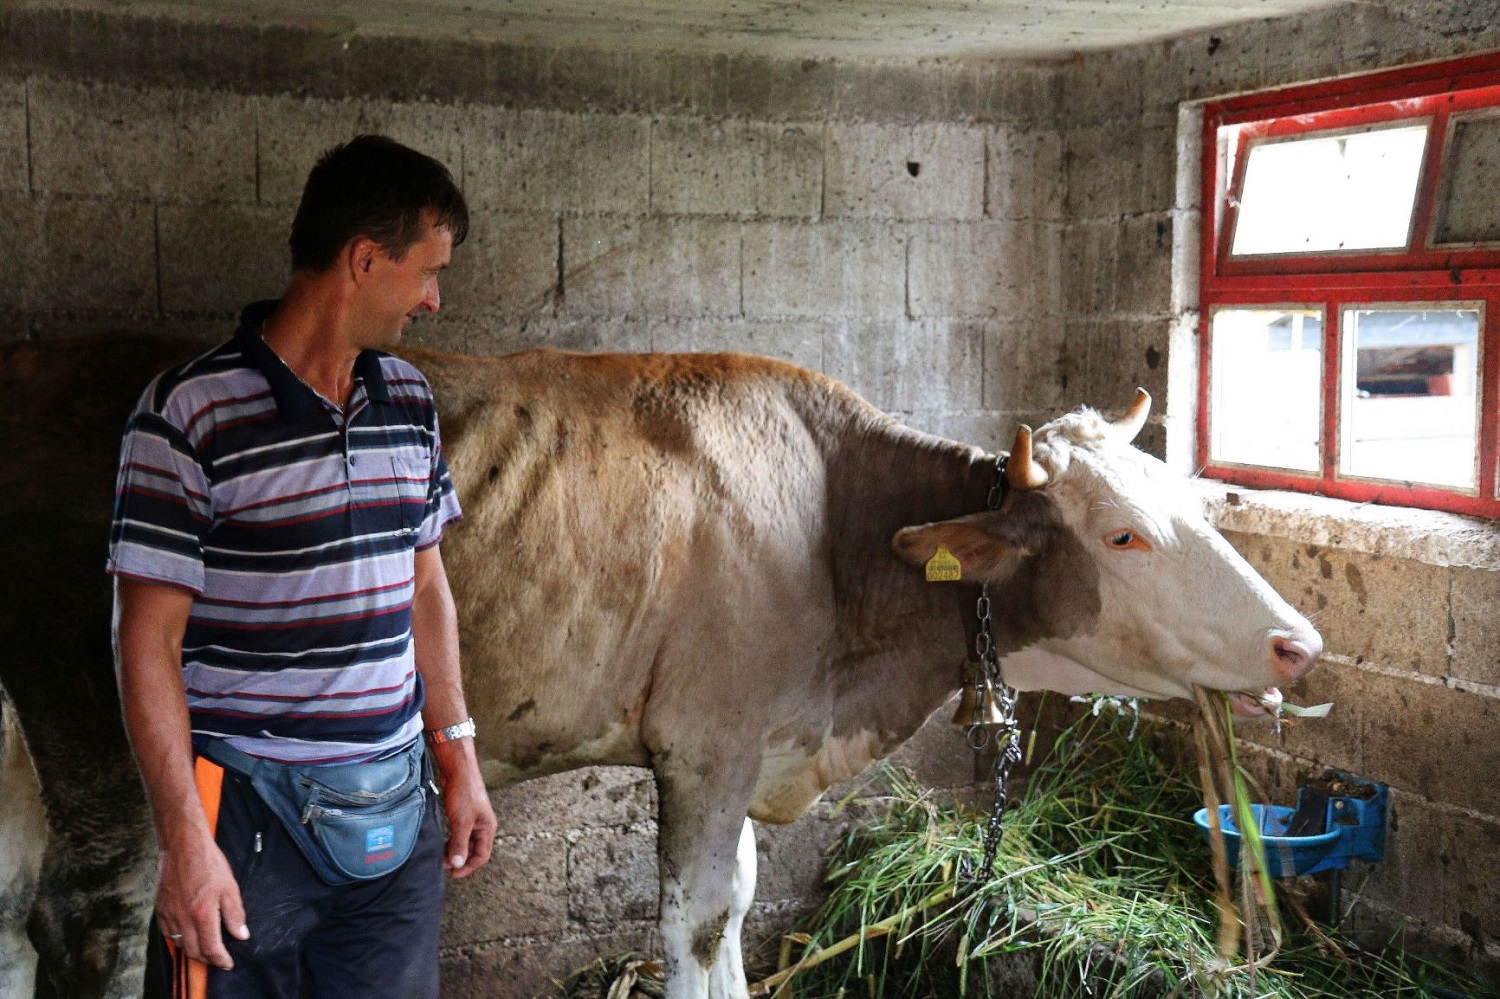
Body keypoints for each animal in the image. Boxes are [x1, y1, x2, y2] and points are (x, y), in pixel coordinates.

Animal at [0, 334, 1320, 996]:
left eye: (1194, 497)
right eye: (1123, 535)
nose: (1298, 642)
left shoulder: (751, 744)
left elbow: (735, 902)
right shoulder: (707, 740)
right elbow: (693, 923)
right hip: (109, 738)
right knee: (104, 926)